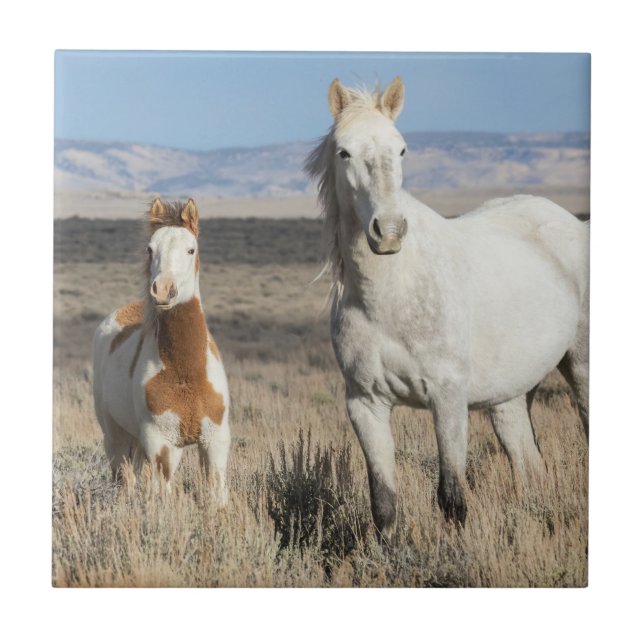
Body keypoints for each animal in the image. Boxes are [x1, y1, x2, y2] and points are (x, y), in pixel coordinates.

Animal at [92, 198, 231, 504]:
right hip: (116, 439)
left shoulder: (214, 442)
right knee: (125, 481)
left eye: (191, 249)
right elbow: (163, 497)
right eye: (150, 249)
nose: (164, 290)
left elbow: (217, 496)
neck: (186, 373)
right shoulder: (161, 444)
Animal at [305, 77, 589, 539]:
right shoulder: (365, 404)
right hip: (511, 396)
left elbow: (452, 497)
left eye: (402, 149)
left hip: (580, 367)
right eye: (344, 151)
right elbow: (383, 503)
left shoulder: (448, 398)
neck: (390, 295)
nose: (388, 232)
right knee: (529, 464)